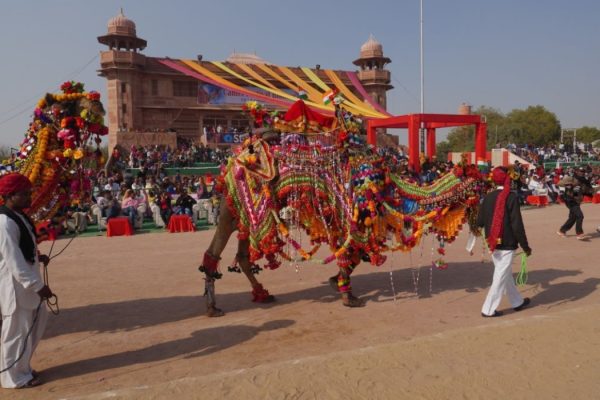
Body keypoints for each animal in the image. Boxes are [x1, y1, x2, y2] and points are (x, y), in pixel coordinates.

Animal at [199, 99, 486, 316]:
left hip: (246, 211)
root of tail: (236, 154)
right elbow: (353, 251)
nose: (489, 180)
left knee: (242, 254)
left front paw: (335, 282)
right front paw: (348, 295)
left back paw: (259, 294)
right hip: (238, 202)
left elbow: (354, 254)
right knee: (217, 249)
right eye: (480, 182)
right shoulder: (353, 210)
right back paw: (213, 307)